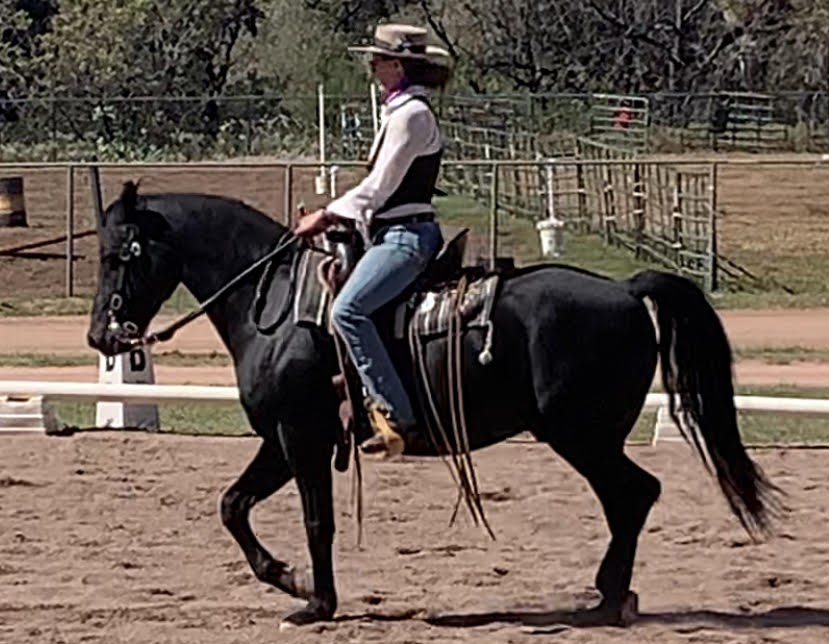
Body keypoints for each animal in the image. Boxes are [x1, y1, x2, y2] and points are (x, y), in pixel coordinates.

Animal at [86, 181, 780, 628]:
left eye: (119, 253)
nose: (101, 337)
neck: (276, 304)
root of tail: (627, 289)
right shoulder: (281, 440)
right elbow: (233, 505)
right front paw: (289, 578)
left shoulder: (300, 436)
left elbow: (316, 521)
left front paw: (316, 603)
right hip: (587, 437)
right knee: (629, 499)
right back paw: (611, 597)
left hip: (580, 435)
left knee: (634, 495)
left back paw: (607, 601)